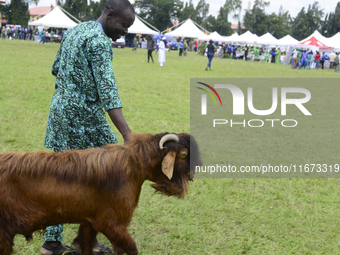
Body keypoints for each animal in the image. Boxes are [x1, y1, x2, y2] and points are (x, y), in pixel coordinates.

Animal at [0, 132, 202, 254]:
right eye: (184, 154)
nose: (194, 172)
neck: (133, 167)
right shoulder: (111, 224)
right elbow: (131, 249)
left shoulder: (89, 221)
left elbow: (87, 246)